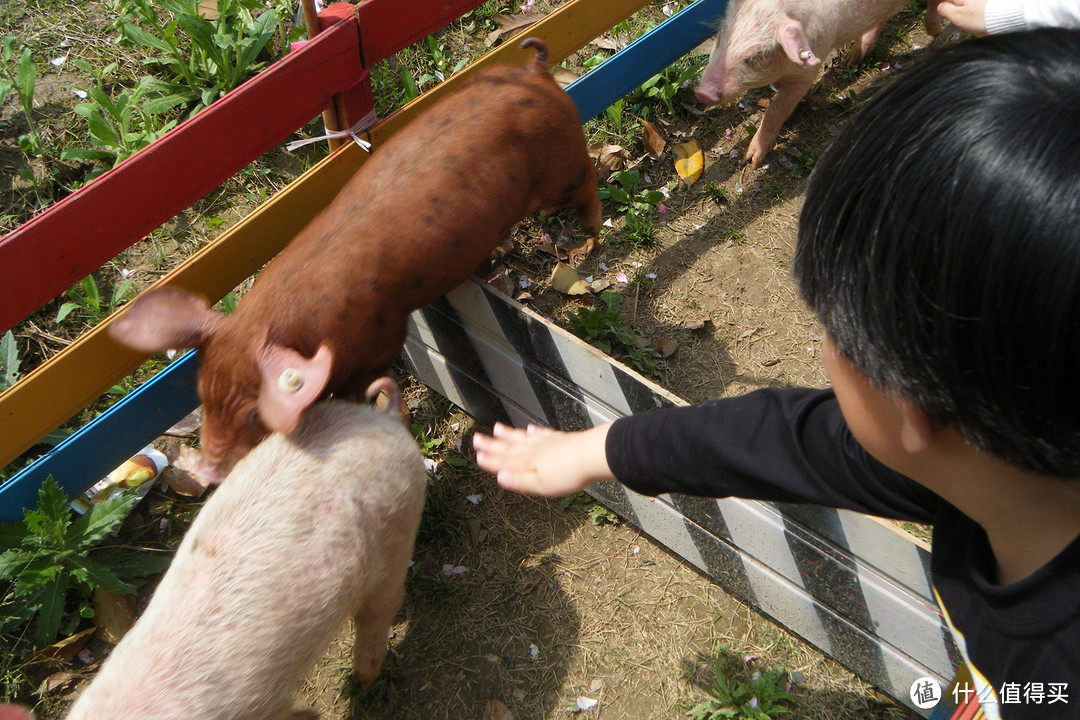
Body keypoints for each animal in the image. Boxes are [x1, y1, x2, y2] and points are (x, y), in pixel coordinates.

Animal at [110, 35, 604, 483]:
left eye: (255, 415)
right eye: (204, 394)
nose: (207, 472)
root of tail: (534, 73)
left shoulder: (382, 337)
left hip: (563, 169)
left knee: (589, 183)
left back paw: (587, 243)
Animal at [695, 0, 941, 166]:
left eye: (757, 55)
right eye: (721, 38)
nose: (702, 92)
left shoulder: (810, 69)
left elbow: (777, 108)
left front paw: (752, 160)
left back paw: (934, 32)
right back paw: (853, 58)